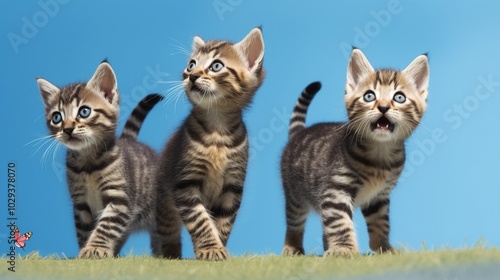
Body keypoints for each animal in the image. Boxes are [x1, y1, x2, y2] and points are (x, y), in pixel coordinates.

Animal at [37, 61, 162, 258]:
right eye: (57, 117)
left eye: (84, 112)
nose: (67, 129)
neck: (88, 164)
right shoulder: (80, 204)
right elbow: (85, 230)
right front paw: (86, 250)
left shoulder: (119, 198)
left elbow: (106, 226)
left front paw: (95, 248)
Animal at [156, 27, 266, 260]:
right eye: (191, 64)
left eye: (216, 66)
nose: (192, 76)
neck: (218, 132)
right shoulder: (186, 182)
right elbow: (200, 220)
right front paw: (210, 248)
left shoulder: (233, 186)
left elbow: (223, 223)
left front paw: (219, 246)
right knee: (167, 231)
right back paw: (170, 255)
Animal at [282, 48, 430, 256]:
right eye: (369, 96)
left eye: (399, 97)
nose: (383, 107)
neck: (380, 154)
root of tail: (300, 132)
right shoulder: (335, 191)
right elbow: (339, 222)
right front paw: (343, 249)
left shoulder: (379, 197)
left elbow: (380, 223)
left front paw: (383, 247)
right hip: (294, 194)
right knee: (294, 222)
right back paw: (292, 247)